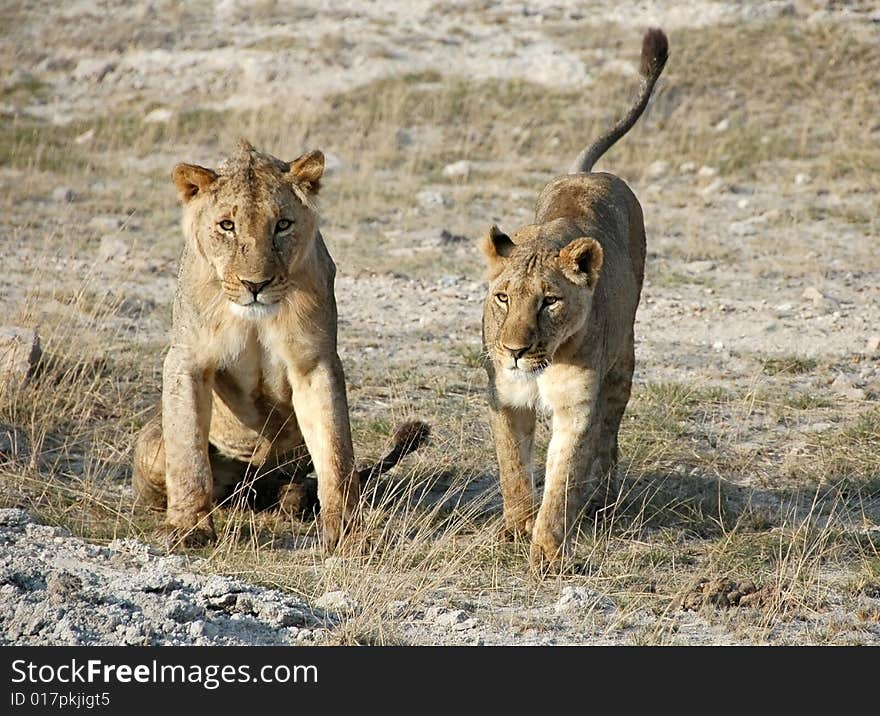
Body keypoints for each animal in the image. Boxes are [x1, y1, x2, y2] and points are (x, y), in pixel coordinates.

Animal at [131, 141, 430, 552]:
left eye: (283, 225)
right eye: (227, 225)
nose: (255, 284)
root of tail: (252, 488)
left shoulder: (314, 362)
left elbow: (336, 453)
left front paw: (347, 533)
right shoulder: (187, 359)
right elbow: (188, 455)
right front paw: (189, 528)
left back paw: (295, 500)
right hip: (154, 450)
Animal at [482, 28, 668, 572]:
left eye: (549, 301)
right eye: (503, 298)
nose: (515, 350)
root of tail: (588, 173)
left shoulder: (576, 407)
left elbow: (562, 480)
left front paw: (546, 551)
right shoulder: (505, 397)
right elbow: (512, 468)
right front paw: (516, 527)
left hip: (623, 358)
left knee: (609, 433)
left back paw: (601, 495)